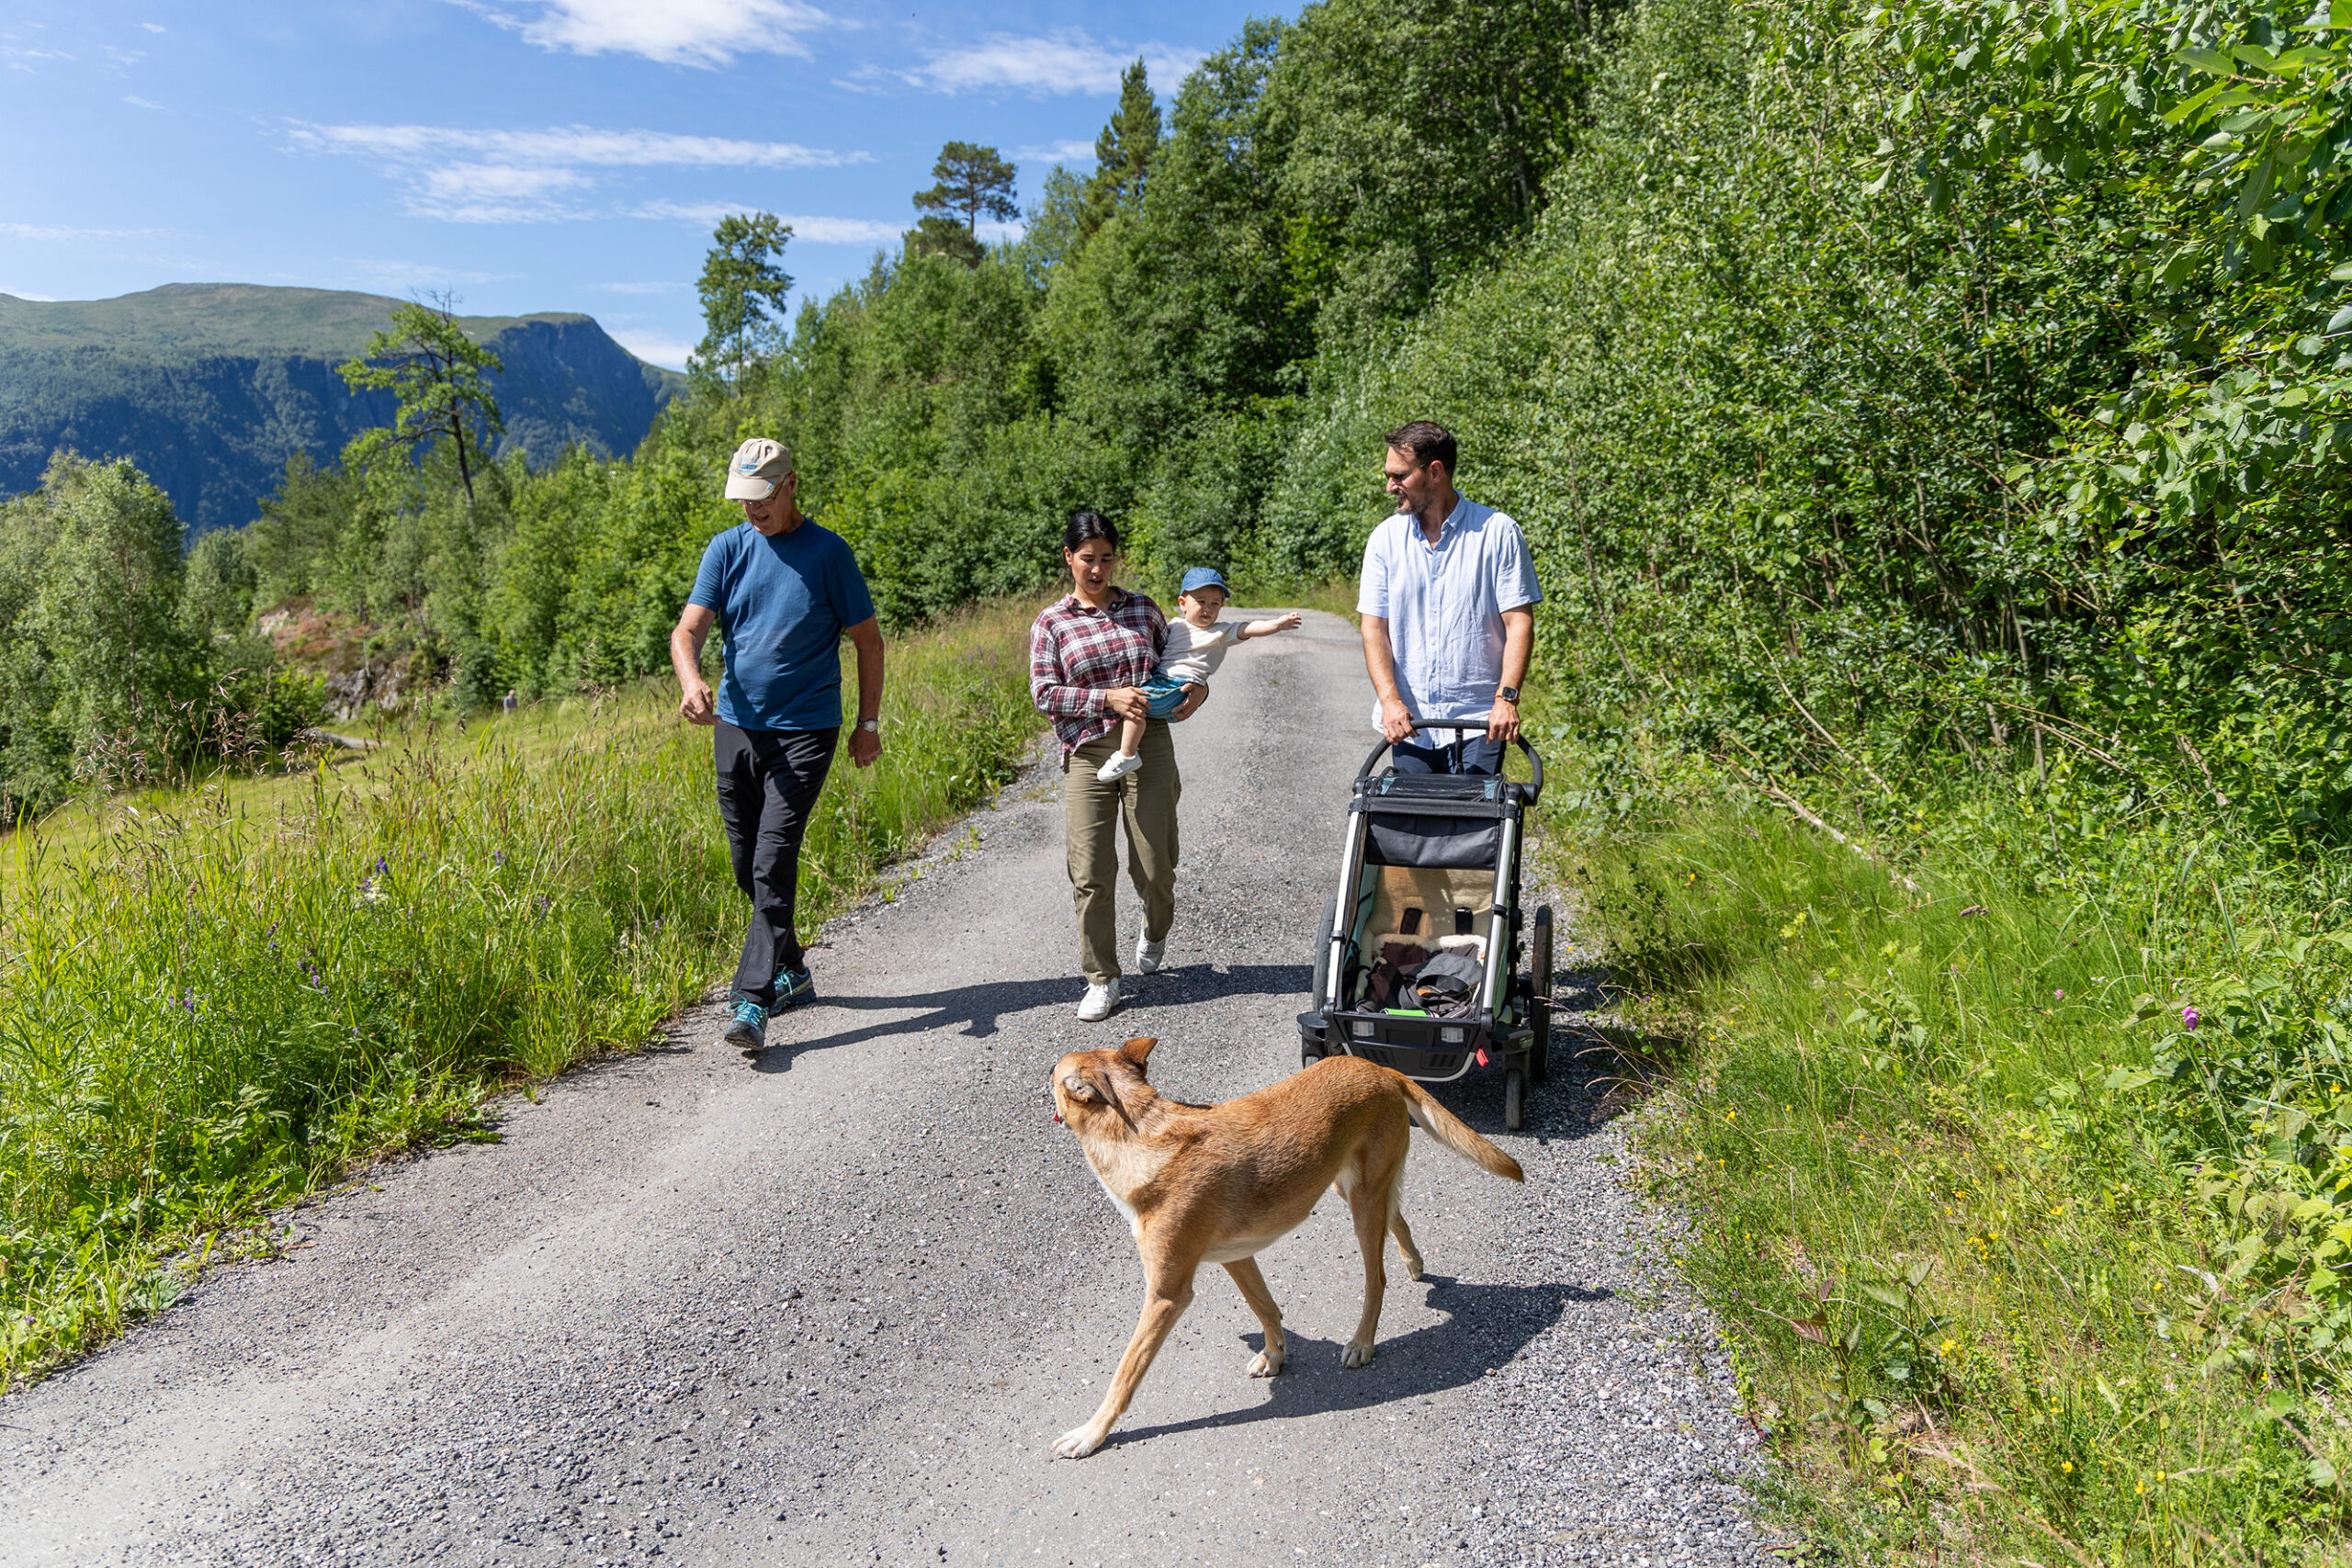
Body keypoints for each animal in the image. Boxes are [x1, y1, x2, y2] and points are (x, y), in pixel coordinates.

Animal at [1048, 1043, 1523, 1457]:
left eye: (1054, 1071)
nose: (1039, 1082)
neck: (1139, 1134)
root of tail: (1380, 1069)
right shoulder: (1236, 1258)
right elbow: (1265, 1308)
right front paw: (1275, 1355)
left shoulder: (1166, 1296)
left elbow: (1124, 1375)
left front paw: (1091, 1433)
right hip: (1352, 1189)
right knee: (1399, 1218)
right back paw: (1414, 1263)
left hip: (1362, 1205)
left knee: (1377, 1279)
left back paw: (1363, 1341)